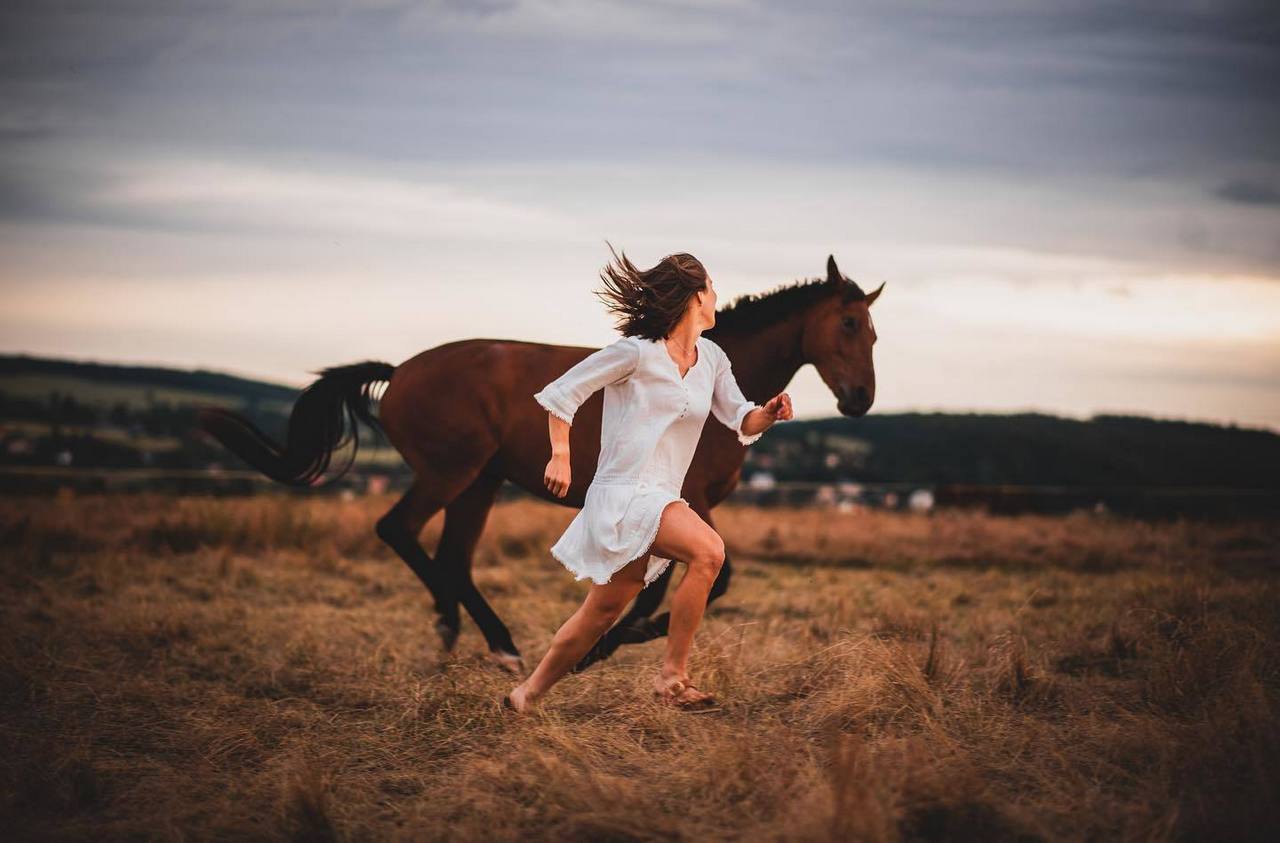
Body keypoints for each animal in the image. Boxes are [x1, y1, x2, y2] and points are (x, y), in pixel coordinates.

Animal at [197, 254, 880, 675]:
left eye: (874, 333)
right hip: (451, 473)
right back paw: (473, 634)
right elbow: (712, 580)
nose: (861, 399)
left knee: (453, 557)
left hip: (480, 483)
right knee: (399, 531)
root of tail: (399, 373)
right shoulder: (692, 503)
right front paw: (606, 645)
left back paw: (480, 639)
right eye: (848, 322)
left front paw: (605, 642)